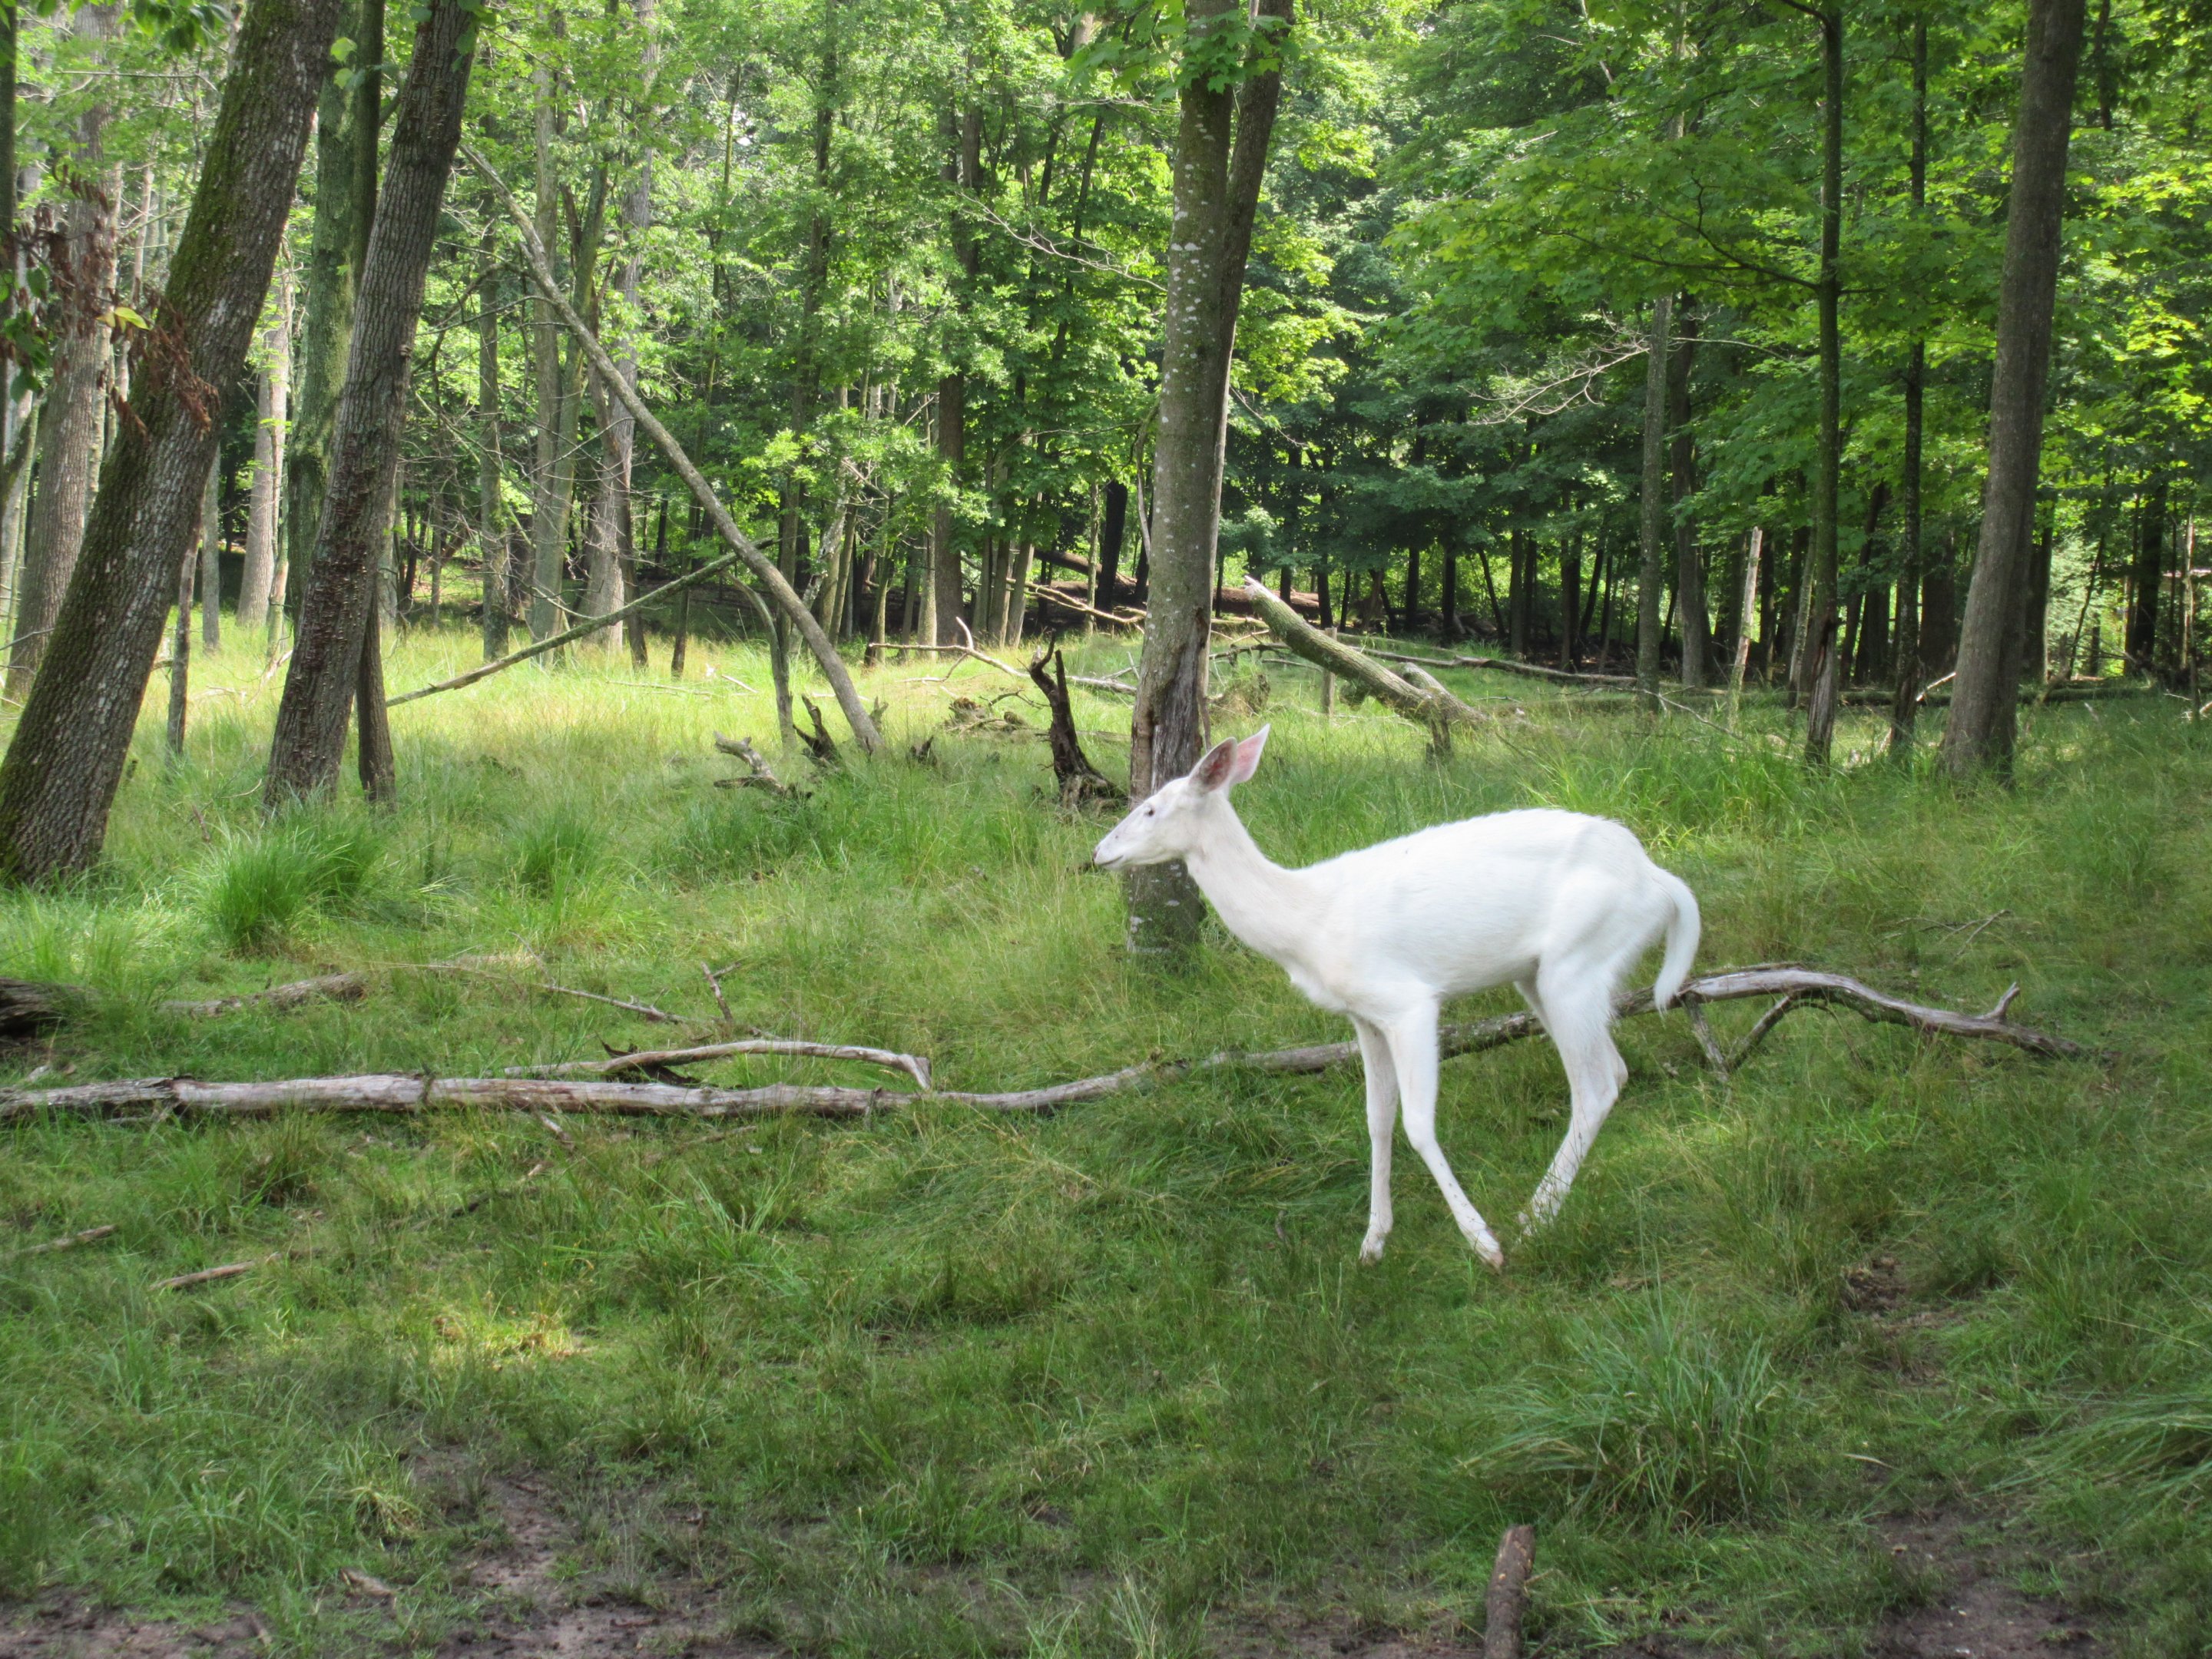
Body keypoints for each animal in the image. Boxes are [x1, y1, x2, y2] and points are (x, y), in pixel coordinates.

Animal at [1092, 726, 1700, 1270]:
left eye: (1151, 809)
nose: (1098, 853)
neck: (1307, 926)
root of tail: (1661, 883)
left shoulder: (1408, 1002)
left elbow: (1418, 1122)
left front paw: (1483, 1244)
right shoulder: (1362, 1017)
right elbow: (1377, 1119)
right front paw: (1373, 1242)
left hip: (1577, 963)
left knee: (1594, 1087)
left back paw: (1534, 1219)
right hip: (1543, 976)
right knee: (1615, 1070)